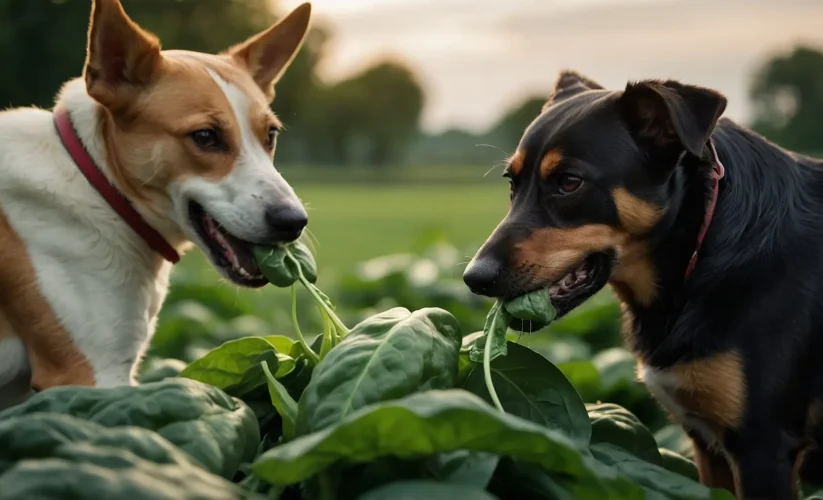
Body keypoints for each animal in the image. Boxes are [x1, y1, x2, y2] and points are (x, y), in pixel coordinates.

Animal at [464, 71, 823, 500]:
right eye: (511, 182)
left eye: (569, 182)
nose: (474, 278)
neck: (697, 252)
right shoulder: (709, 446)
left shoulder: (762, 448)